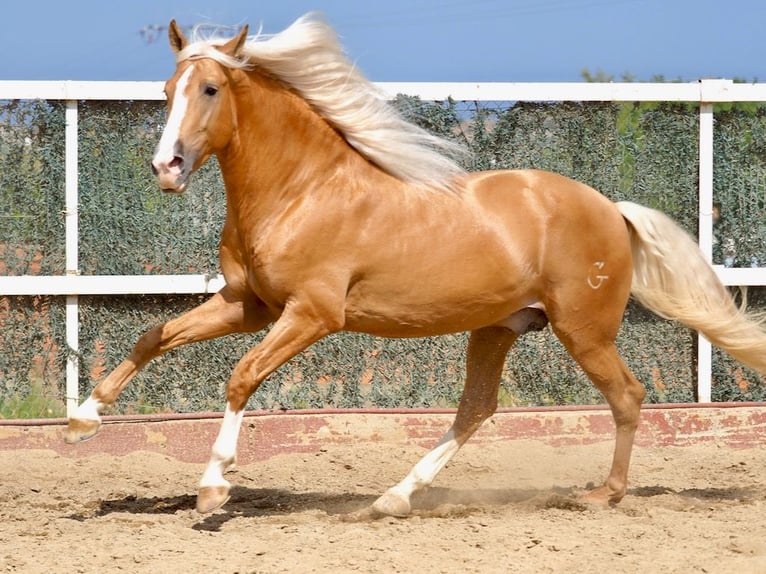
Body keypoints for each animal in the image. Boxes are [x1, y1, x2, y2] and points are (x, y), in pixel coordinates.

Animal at [66, 13, 766, 516]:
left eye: (210, 88)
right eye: (167, 92)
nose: (167, 168)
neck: (302, 191)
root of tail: (611, 208)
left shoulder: (311, 314)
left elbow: (242, 376)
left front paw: (213, 489)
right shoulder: (250, 305)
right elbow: (154, 335)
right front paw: (82, 419)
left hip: (583, 329)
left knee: (627, 395)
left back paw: (604, 494)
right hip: (498, 327)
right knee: (477, 408)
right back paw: (392, 499)